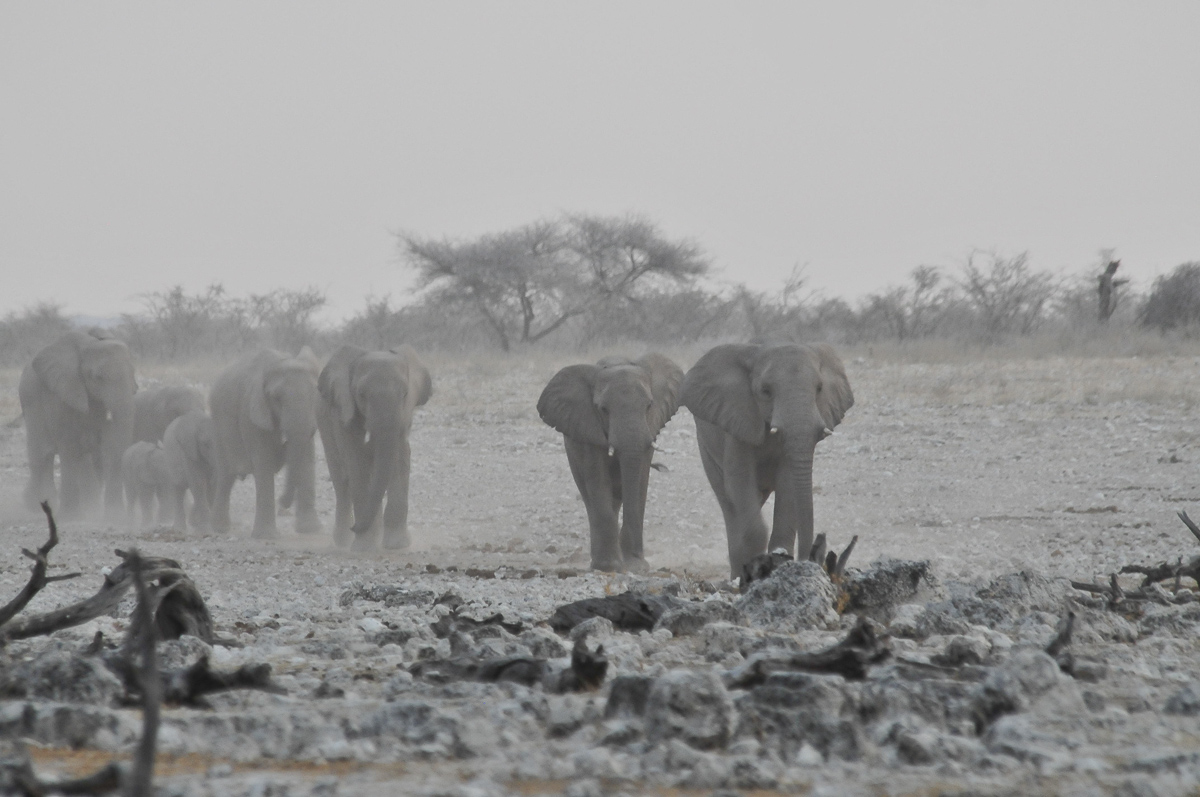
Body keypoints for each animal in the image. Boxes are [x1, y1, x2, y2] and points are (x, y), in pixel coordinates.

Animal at [19, 329, 138, 519]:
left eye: (133, 372)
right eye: (98, 377)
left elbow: (111, 444)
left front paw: (115, 516)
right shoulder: (60, 393)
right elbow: (68, 446)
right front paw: (69, 517)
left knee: (82, 458)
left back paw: (89, 507)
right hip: (29, 402)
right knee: (41, 455)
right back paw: (38, 506)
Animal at [209, 347, 322, 539]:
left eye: (315, 392)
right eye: (276, 397)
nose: (283, 504)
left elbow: (306, 457)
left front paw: (310, 530)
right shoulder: (251, 412)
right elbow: (264, 460)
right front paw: (266, 536)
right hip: (218, 428)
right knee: (226, 476)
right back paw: (220, 529)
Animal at [316, 344, 432, 550]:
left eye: (405, 394)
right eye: (361, 394)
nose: (356, 527)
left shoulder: (403, 417)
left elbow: (399, 459)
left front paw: (397, 545)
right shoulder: (343, 411)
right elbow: (356, 461)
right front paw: (364, 547)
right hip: (324, 427)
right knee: (342, 481)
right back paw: (343, 541)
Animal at [537, 354, 684, 573]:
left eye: (649, 405)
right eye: (603, 410)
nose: (636, 560)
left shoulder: (650, 426)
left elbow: (640, 479)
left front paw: (634, 566)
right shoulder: (588, 428)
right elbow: (597, 479)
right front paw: (610, 567)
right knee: (590, 497)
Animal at [681, 343, 854, 579]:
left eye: (819, 388)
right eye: (765, 391)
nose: (809, 559)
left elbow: (788, 485)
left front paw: (778, 562)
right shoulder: (738, 422)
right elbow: (740, 482)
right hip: (706, 449)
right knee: (729, 504)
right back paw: (736, 574)